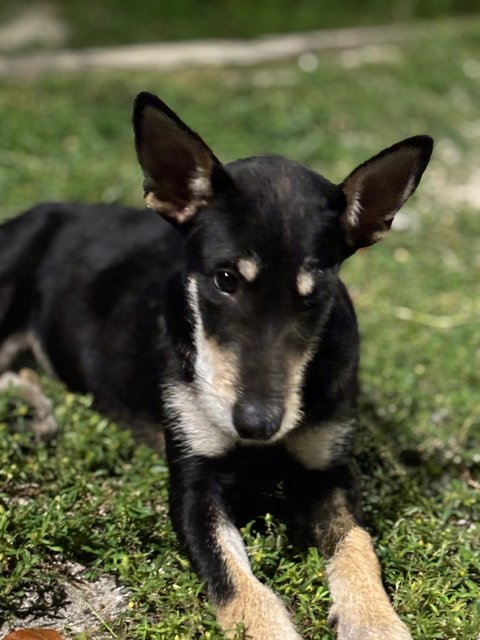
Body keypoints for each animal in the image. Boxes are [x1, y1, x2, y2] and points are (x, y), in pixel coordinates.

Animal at [0, 91, 434, 640]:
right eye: (224, 279)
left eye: (315, 297)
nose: (257, 425)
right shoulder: (192, 483)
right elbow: (236, 583)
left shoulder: (330, 468)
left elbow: (357, 545)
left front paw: (376, 621)